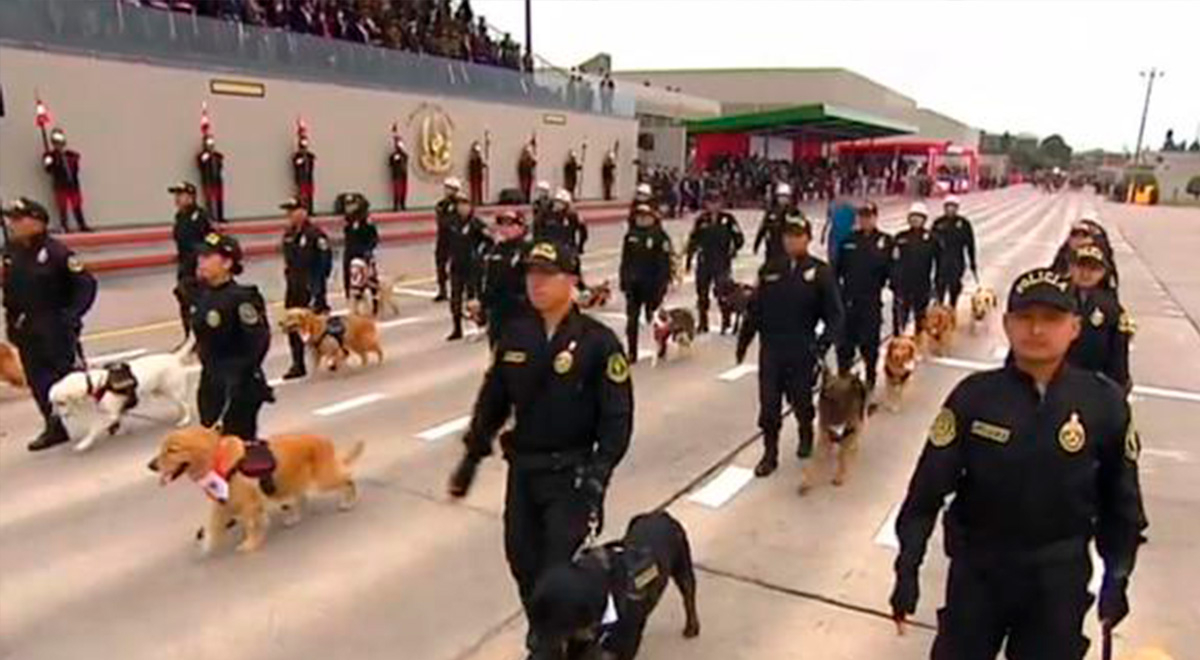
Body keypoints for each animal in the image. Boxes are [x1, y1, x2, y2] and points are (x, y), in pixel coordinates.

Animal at [50, 338, 195, 453]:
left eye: (61, 402)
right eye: (53, 403)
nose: (54, 416)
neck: (98, 384)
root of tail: (174, 357)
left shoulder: (110, 414)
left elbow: (95, 427)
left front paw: (84, 444)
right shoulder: (116, 410)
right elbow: (119, 418)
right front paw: (121, 430)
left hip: (172, 390)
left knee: (186, 404)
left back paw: (185, 420)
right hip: (162, 391)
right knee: (181, 404)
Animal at [147, 427, 360, 556]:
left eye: (172, 450)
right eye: (162, 448)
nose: (151, 465)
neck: (217, 458)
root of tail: (324, 439)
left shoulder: (248, 503)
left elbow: (251, 524)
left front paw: (250, 543)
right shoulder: (222, 502)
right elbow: (213, 524)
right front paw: (207, 545)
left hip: (324, 478)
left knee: (348, 479)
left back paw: (348, 502)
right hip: (292, 480)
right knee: (300, 497)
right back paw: (294, 517)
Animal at [530, 511, 700, 660]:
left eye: (555, 619)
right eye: (531, 615)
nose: (530, 644)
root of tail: (661, 514)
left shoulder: (624, 648)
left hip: (683, 569)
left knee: (688, 597)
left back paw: (692, 627)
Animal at [801, 367, 868, 496]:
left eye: (834, 389)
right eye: (827, 387)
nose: (824, 394)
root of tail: (853, 376)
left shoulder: (848, 434)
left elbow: (842, 457)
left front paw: (839, 476)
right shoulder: (824, 435)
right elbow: (815, 460)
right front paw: (806, 482)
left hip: (858, 422)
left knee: (856, 436)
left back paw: (852, 448)